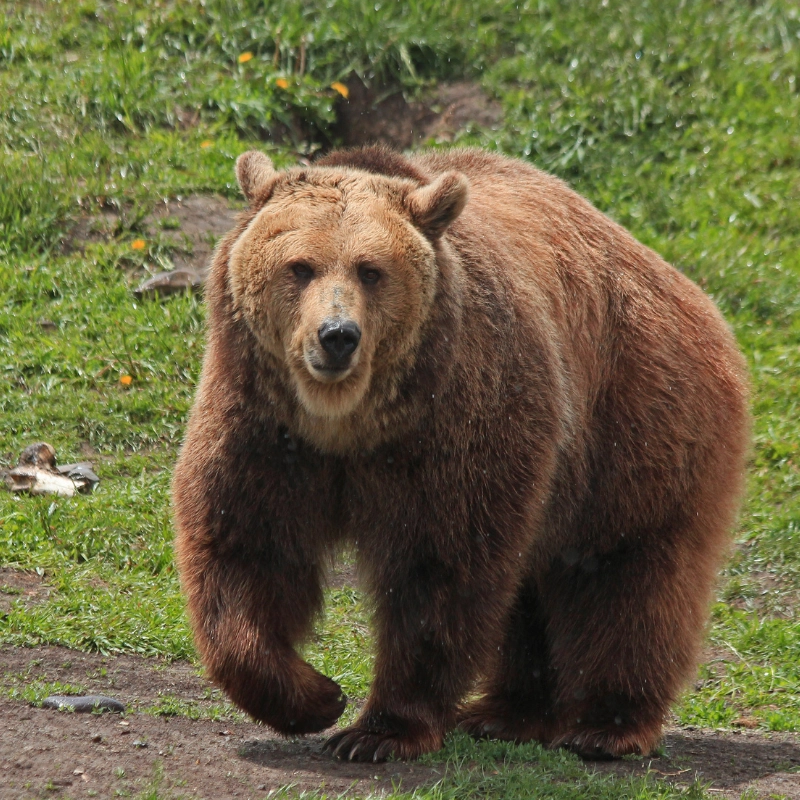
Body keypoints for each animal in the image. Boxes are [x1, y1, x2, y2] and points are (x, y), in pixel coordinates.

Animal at [170, 145, 752, 764]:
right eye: (300, 266)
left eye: (371, 270)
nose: (337, 336)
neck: (346, 422)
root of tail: (677, 280)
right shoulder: (264, 424)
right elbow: (246, 547)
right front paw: (315, 697)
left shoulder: (455, 422)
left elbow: (440, 564)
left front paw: (378, 730)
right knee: (534, 587)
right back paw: (506, 713)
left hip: (635, 418)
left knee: (627, 572)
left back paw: (606, 724)